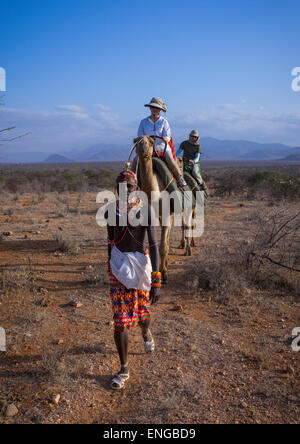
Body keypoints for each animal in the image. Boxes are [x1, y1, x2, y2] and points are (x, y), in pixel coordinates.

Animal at [131, 135, 197, 282]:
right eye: (137, 141)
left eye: (151, 142)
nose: (143, 148)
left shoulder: (167, 213)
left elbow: (162, 245)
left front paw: (164, 273)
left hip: (186, 208)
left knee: (187, 226)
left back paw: (188, 250)